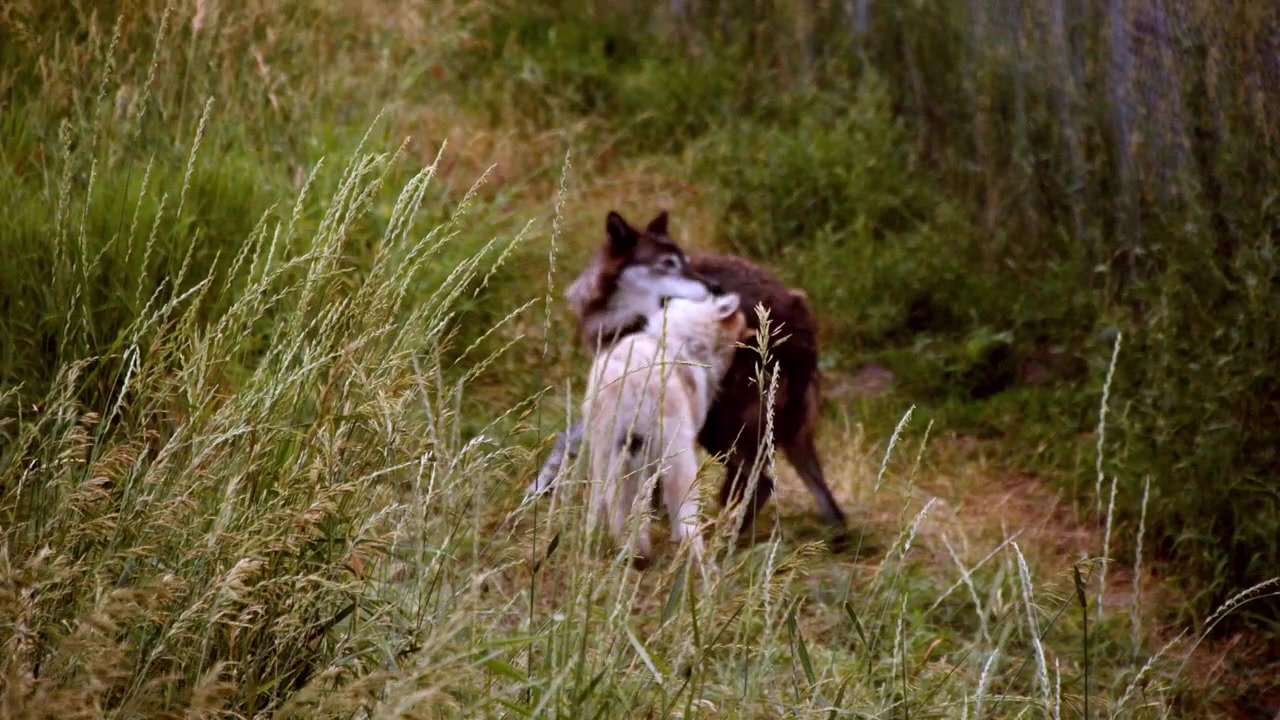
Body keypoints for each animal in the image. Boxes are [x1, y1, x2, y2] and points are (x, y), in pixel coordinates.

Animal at [584, 292, 752, 568]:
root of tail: (633, 383)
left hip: (610, 454)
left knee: (617, 504)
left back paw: (631, 553)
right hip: (677, 457)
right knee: (684, 518)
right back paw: (702, 564)